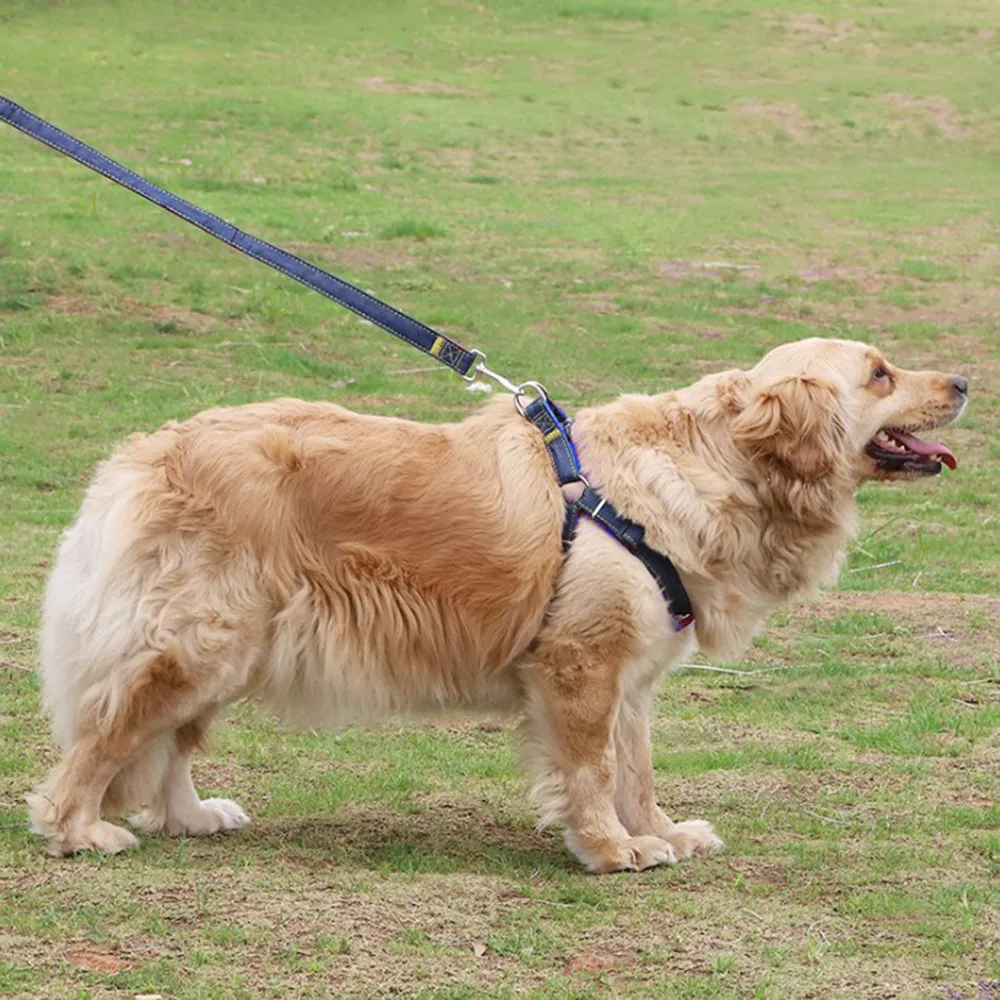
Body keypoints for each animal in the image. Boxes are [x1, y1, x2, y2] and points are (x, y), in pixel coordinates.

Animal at [27, 336, 964, 868]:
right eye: (881, 374)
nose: (960, 380)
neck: (718, 464)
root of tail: (140, 454)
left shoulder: (632, 676)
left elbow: (637, 768)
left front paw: (659, 832)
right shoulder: (580, 664)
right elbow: (592, 771)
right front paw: (610, 849)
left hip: (230, 649)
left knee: (168, 745)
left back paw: (190, 817)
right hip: (201, 643)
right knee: (108, 735)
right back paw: (79, 831)